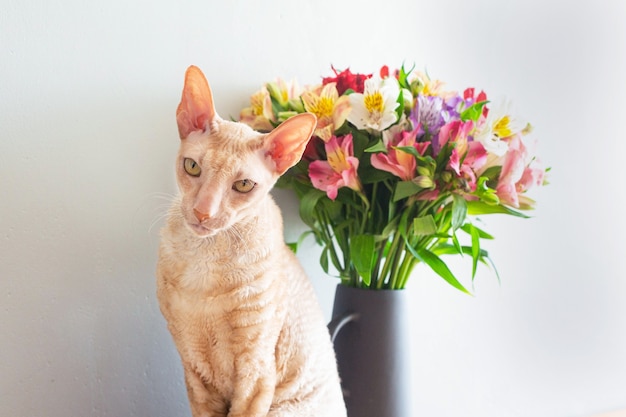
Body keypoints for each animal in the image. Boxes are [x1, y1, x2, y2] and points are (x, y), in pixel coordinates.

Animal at [154, 66, 344, 416]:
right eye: (192, 166)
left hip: (286, 406)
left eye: (243, 185)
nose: (203, 213)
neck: (205, 262)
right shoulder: (194, 371)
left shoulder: (256, 368)